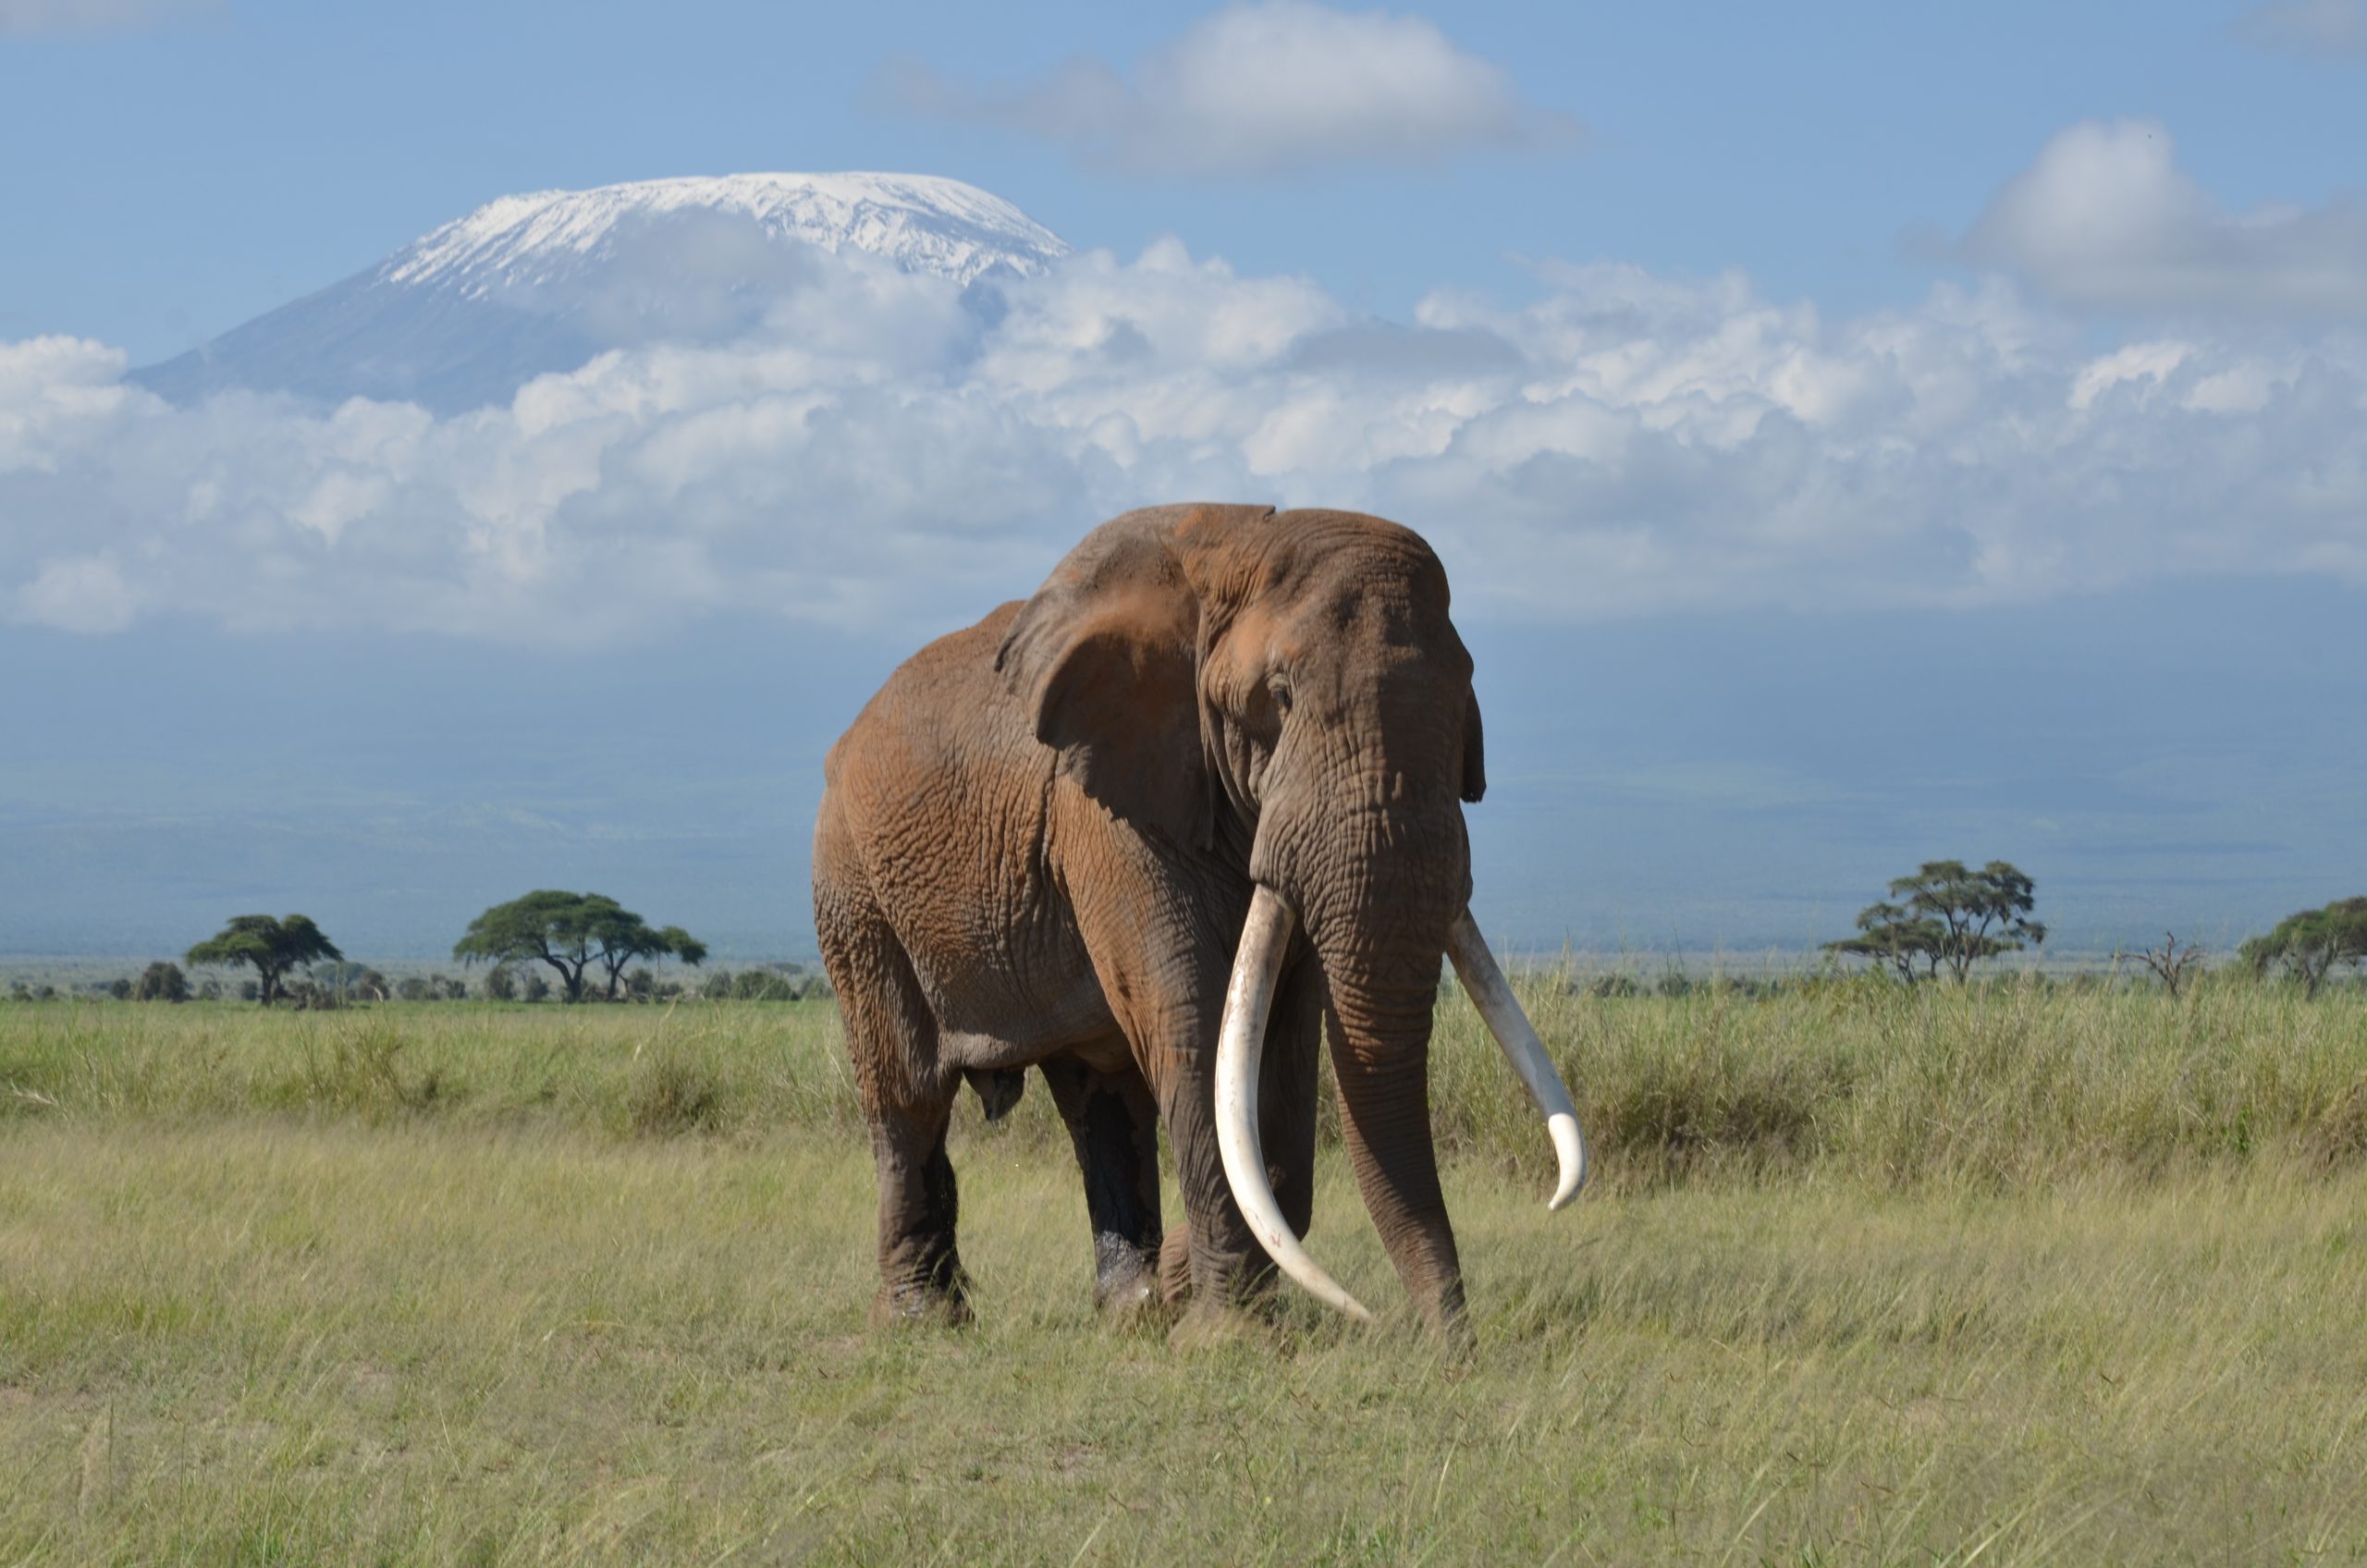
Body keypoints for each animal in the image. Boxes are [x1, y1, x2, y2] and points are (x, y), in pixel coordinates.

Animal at [811, 503, 1586, 1344]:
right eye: (1278, 695)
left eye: (1465, 697)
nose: (1451, 1347)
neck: (1242, 546)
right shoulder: (1106, 813)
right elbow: (1193, 1018)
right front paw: (1226, 1336)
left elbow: (1279, 1048)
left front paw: (1174, 1297)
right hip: (854, 888)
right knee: (907, 1093)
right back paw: (925, 1321)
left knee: (1098, 1099)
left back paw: (1126, 1306)